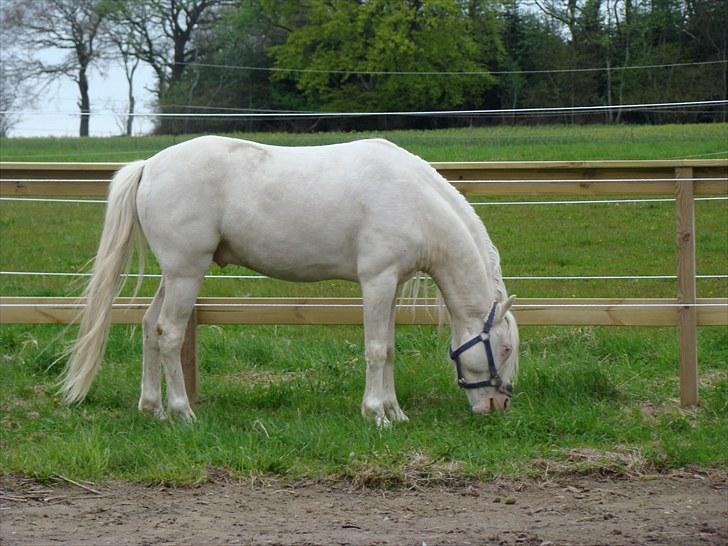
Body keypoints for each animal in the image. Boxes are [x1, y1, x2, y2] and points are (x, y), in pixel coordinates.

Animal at [61, 136, 519, 426]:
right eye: (506, 347)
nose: (499, 403)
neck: (414, 200)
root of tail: (150, 166)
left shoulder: (389, 285)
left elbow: (388, 349)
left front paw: (395, 412)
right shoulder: (376, 280)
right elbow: (375, 350)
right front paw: (376, 414)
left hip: (173, 276)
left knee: (148, 328)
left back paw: (153, 408)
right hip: (186, 272)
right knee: (169, 333)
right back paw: (182, 413)